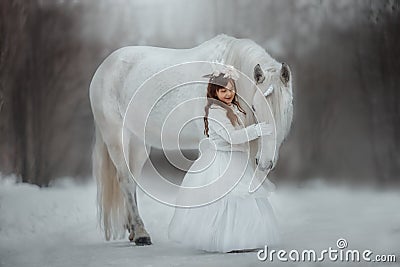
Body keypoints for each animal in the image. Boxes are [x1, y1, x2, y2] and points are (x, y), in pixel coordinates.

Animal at [88, 34, 294, 246]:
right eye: (254, 107)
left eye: (287, 107)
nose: (265, 162)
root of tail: (105, 66)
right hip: (116, 136)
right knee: (126, 180)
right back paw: (140, 233)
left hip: (138, 143)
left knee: (132, 179)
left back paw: (133, 229)